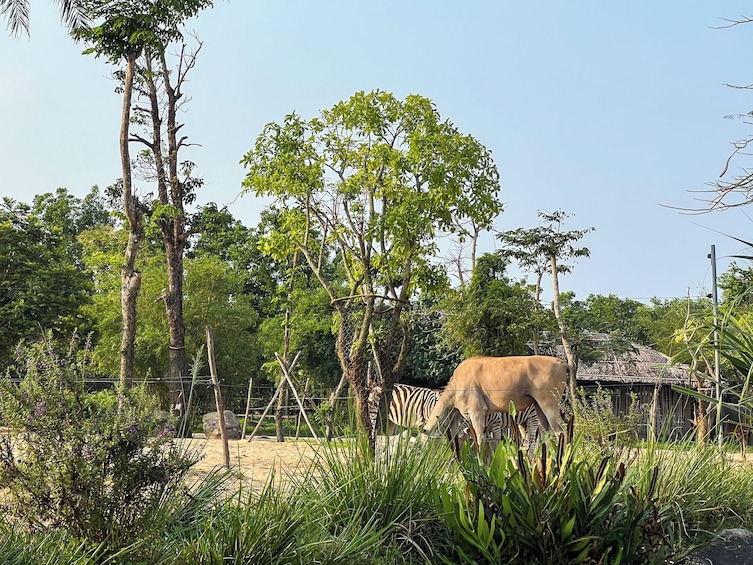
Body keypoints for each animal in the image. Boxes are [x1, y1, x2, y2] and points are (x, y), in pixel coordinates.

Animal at [424, 354, 564, 452]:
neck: (457, 383)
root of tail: (563, 364)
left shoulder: (477, 412)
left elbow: (481, 440)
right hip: (538, 410)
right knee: (547, 434)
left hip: (548, 407)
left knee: (560, 432)